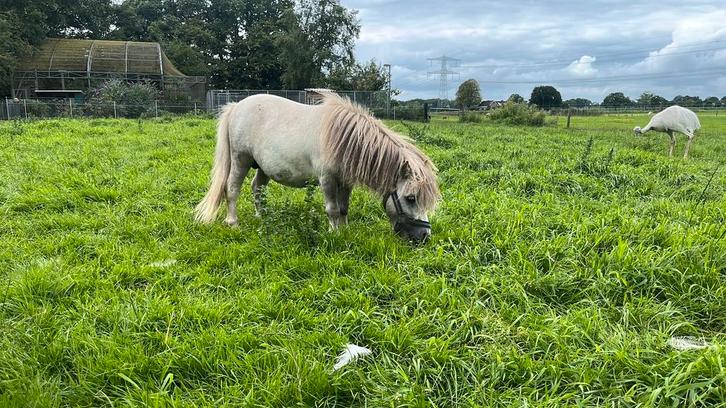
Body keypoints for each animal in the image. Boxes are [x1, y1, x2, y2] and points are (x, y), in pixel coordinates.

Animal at [194, 93, 440, 242]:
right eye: (410, 198)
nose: (424, 236)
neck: (345, 138)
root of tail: (236, 106)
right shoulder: (327, 179)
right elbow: (332, 209)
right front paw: (334, 233)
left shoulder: (346, 181)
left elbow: (343, 208)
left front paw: (344, 230)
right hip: (240, 160)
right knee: (232, 188)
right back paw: (233, 222)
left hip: (263, 167)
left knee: (257, 188)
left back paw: (262, 216)